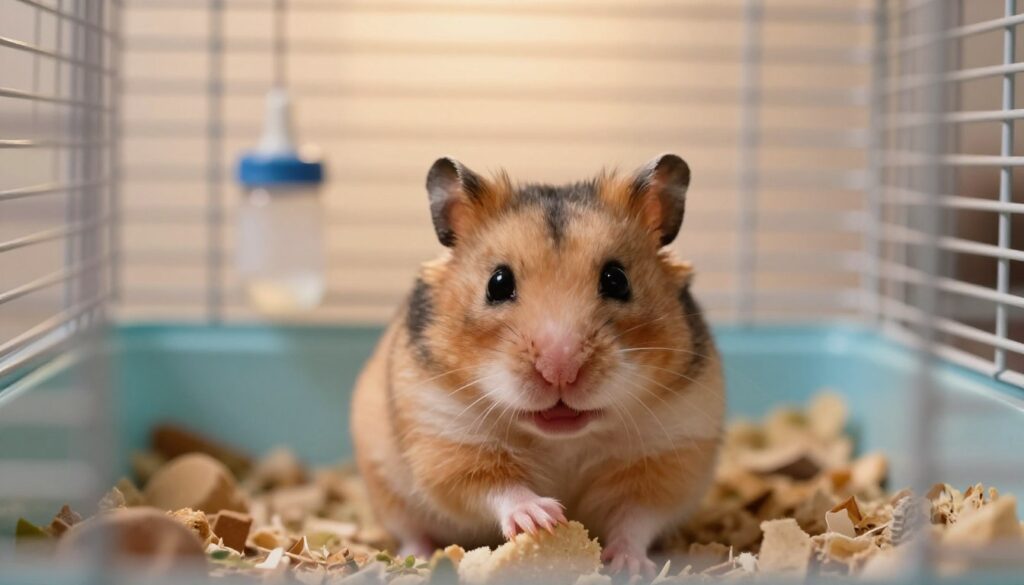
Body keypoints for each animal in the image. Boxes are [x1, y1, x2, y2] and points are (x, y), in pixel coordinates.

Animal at [351, 154, 724, 575]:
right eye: (497, 283)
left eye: (617, 280)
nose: (559, 369)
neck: (562, 439)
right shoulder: (446, 437)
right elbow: (493, 486)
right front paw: (543, 517)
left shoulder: (670, 453)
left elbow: (636, 516)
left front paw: (628, 565)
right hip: (386, 489)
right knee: (410, 528)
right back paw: (413, 555)